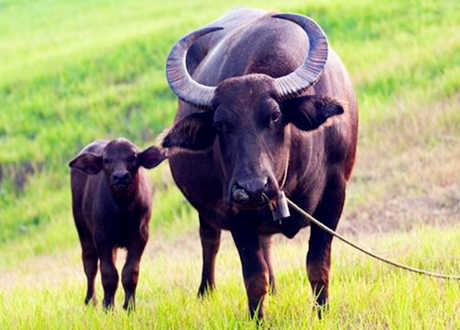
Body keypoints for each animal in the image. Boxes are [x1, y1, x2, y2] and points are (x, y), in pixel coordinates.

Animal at [69, 139, 166, 310]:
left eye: (132, 157)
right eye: (106, 160)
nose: (120, 177)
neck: (122, 209)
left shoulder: (140, 237)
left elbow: (130, 272)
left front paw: (129, 306)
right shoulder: (102, 238)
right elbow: (108, 274)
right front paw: (108, 307)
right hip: (83, 230)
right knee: (90, 265)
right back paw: (91, 301)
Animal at [162, 7, 360, 318]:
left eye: (275, 115)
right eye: (220, 125)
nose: (253, 187)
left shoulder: (334, 195)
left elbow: (318, 265)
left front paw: (322, 312)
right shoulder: (235, 210)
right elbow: (254, 278)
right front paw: (258, 319)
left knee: (265, 244)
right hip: (207, 208)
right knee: (210, 241)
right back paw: (206, 292)